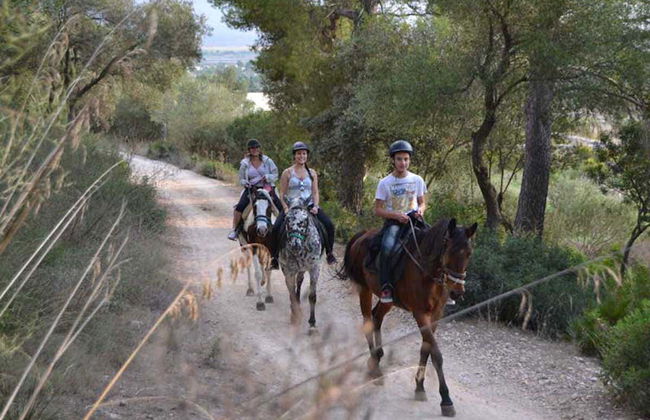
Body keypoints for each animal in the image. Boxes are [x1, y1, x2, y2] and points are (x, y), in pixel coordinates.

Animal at [278, 197, 323, 330]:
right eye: (287, 219)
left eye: (305, 220)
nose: (295, 245)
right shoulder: (288, 270)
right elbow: (291, 292)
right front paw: (294, 315)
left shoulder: (315, 268)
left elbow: (312, 296)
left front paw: (312, 322)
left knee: (299, 280)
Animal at [340, 218, 477, 417]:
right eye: (449, 251)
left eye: (468, 253)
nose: (457, 292)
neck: (427, 271)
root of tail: (363, 235)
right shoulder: (420, 313)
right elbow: (436, 354)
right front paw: (446, 399)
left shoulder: (436, 314)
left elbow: (426, 349)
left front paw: (419, 387)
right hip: (364, 289)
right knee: (367, 321)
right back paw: (376, 369)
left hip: (388, 300)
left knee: (377, 317)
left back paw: (377, 357)